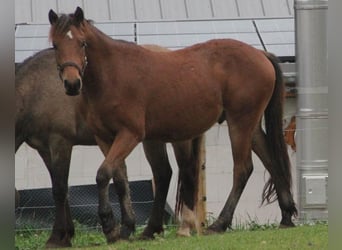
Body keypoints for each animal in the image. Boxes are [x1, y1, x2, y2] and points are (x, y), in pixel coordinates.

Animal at [15, 47, 203, 247]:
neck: (35, 90)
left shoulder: (60, 142)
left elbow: (59, 189)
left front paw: (57, 236)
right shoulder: (44, 149)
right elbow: (64, 189)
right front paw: (68, 235)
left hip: (179, 138)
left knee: (186, 172)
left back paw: (184, 228)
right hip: (153, 139)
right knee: (163, 174)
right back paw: (152, 230)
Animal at [49, 7, 298, 244]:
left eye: (82, 43)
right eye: (55, 45)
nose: (72, 83)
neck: (113, 74)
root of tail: (260, 54)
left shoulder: (129, 135)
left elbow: (103, 174)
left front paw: (110, 226)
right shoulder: (105, 138)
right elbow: (119, 179)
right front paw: (127, 228)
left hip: (240, 123)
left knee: (243, 169)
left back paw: (219, 224)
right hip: (250, 126)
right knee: (271, 161)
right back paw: (286, 216)